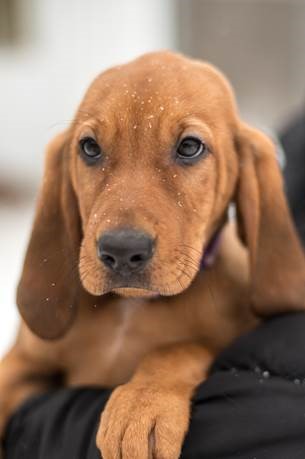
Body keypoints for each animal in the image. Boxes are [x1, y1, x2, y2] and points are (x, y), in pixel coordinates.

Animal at [1, 52, 304, 458]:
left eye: (190, 147)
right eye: (89, 148)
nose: (122, 250)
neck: (130, 309)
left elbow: (179, 348)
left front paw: (143, 403)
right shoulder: (23, 360)